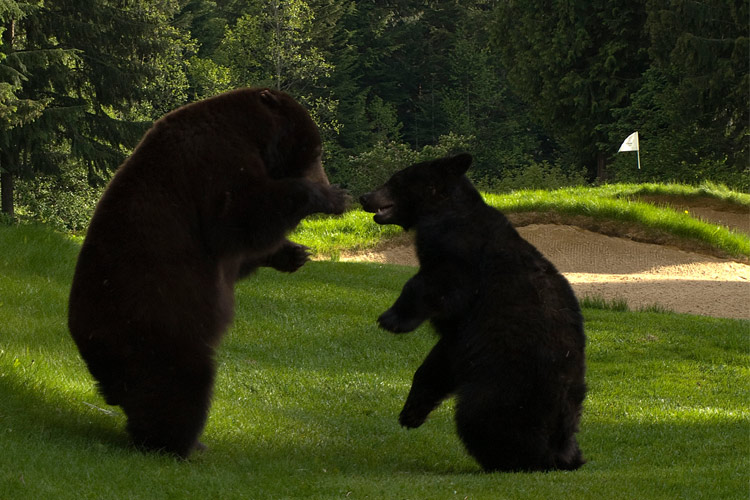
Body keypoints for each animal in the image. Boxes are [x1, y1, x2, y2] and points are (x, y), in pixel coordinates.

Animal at [69, 87, 348, 458]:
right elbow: (235, 218)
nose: (326, 179)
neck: (252, 132)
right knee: (180, 382)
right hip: (158, 327)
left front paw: (293, 253)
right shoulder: (215, 159)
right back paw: (179, 443)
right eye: (315, 150)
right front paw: (327, 196)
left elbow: (239, 251)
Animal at [362, 154, 592, 474]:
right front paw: (411, 413)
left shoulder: (461, 256)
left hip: (504, 386)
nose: (364, 197)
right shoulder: (460, 334)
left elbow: (435, 285)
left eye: (395, 180)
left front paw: (392, 319)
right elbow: (437, 363)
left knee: (479, 416)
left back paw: (506, 460)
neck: (442, 213)